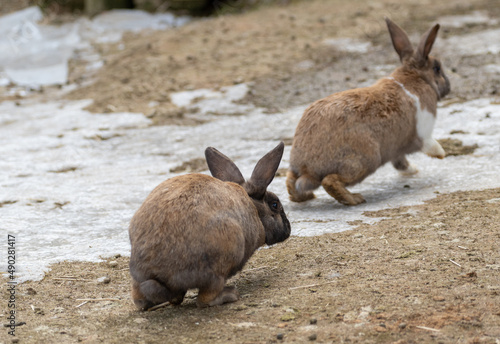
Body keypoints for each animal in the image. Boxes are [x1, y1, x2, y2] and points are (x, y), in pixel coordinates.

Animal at [129, 141, 292, 310]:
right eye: (275, 205)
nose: (288, 229)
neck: (254, 206)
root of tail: (156, 271)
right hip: (221, 264)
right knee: (205, 299)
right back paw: (231, 294)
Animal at [288, 18, 452, 206]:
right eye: (437, 68)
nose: (449, 86)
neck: (415, 77)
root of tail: (307, 167)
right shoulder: (422, 134)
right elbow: (429, 145)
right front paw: (441, 154)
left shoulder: (397, 150)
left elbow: (400, 162)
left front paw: (413, 170)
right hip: (366, 160)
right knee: (330, 181)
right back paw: (354, 199)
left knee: (290, 180)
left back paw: (304, 197)